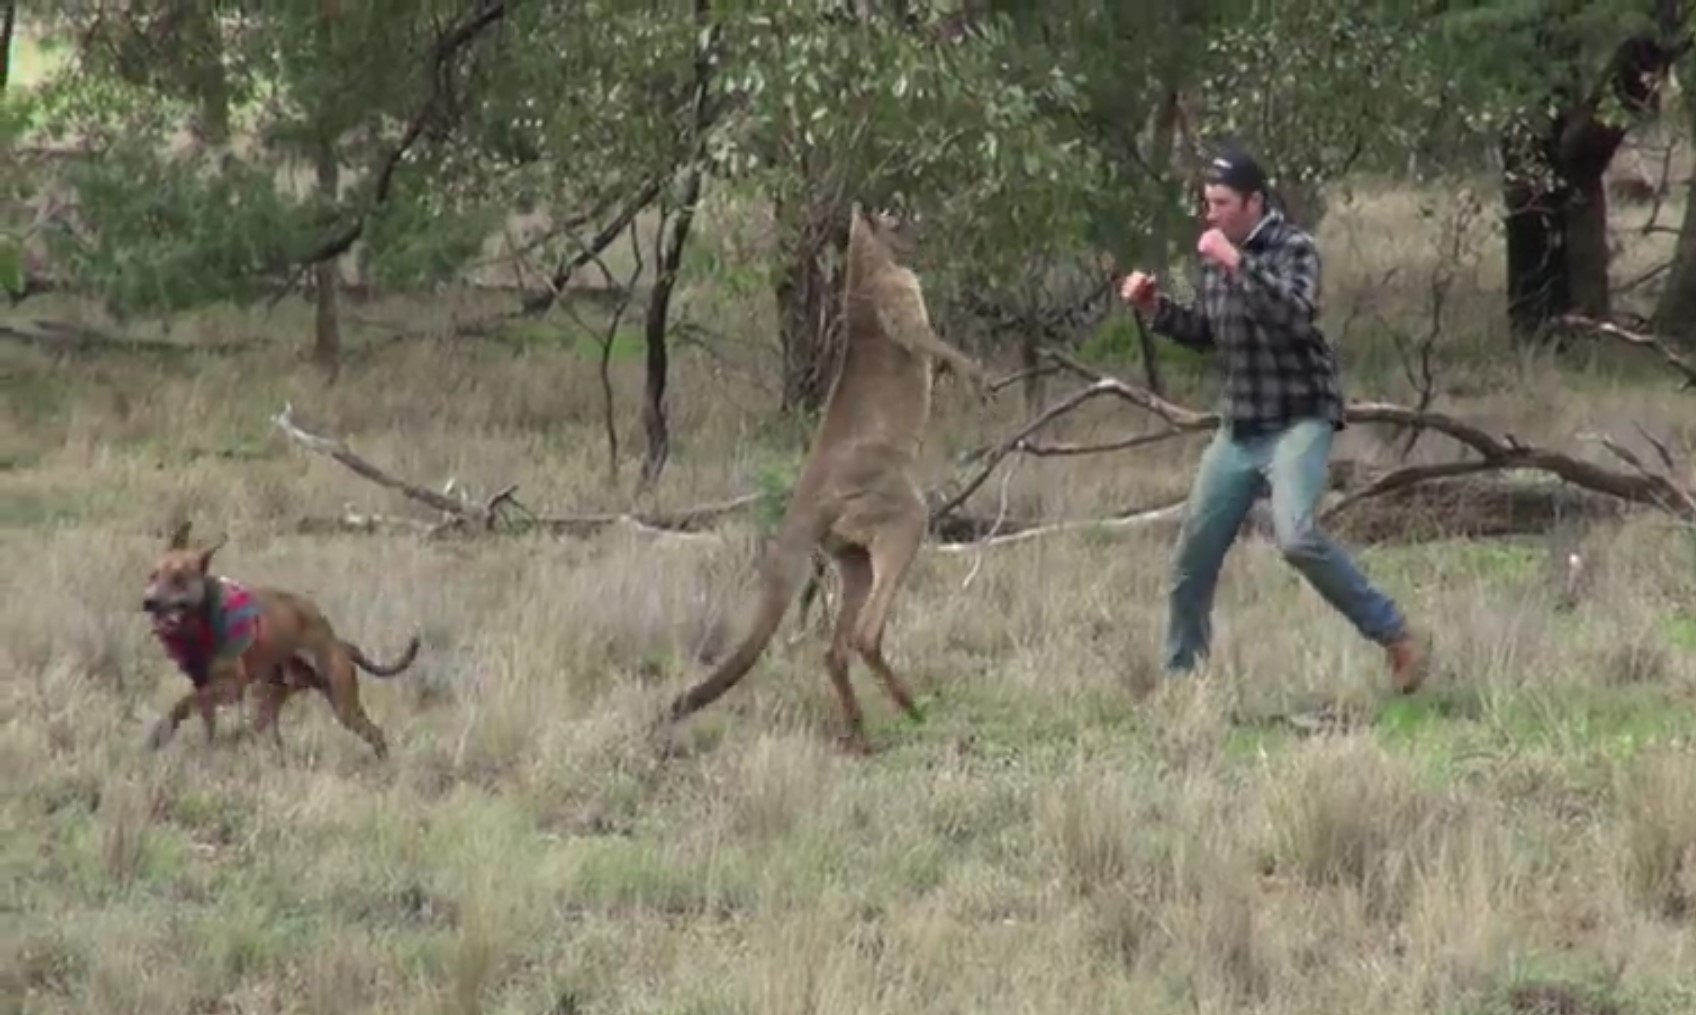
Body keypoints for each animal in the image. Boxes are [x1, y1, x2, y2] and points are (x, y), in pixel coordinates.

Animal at [142, 526, 420, 757]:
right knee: (267, 731)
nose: (148, 601)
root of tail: (337, 641)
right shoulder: (205, 685)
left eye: (179, 579)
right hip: (272, 697)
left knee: (375, 733)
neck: (201, 620)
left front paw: (161, 733)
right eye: (153, 575)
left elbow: (184, 703)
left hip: (343, 706)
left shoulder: (230, 686)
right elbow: (203, 718)